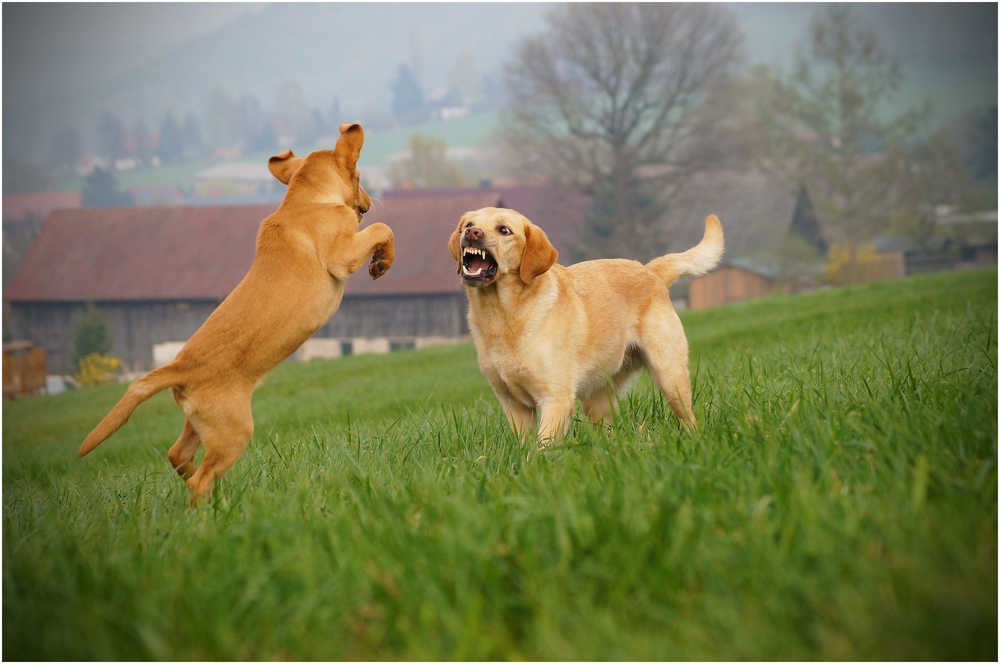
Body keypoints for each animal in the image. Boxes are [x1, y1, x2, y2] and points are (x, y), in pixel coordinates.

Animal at [76, 123, 394, 504]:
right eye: (358, 175)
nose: (369, 202)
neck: (307, 201)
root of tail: (179, 367)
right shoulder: (341, 256)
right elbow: (383, 229)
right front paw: (382, 262)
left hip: (204, 423)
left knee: (179, 455)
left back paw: (217, 497)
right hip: (234, 430)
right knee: (199, 480)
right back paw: (211, 512)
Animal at [450, 208, 724, 444]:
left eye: (504, 230)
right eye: (470, 224)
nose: (472, 233)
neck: (502, 314)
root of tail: (650, 271)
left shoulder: (555, 399)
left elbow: (542, 447)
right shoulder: (514, 405)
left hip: (670, 376)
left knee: (689, 419)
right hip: (597, 400)